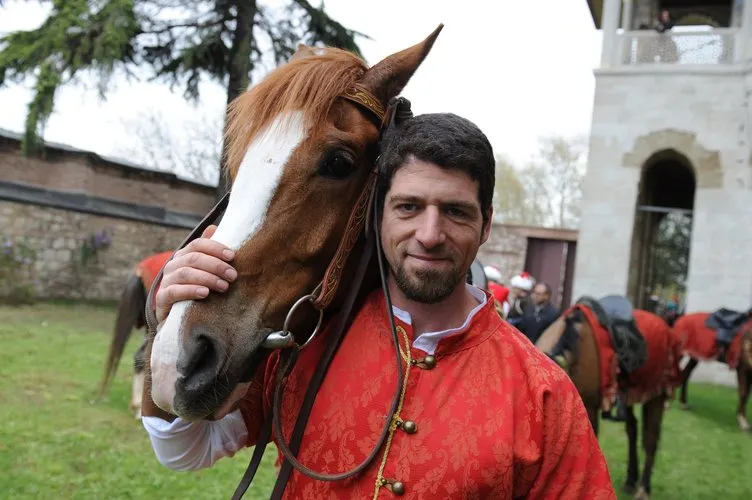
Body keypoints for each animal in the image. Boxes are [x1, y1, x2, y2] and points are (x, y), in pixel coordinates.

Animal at [536, 294, 680, 498]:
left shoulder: (588, 407)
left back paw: (644, 488)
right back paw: (630, 480)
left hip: (656, 395)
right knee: (632, 428)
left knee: (650, 439)